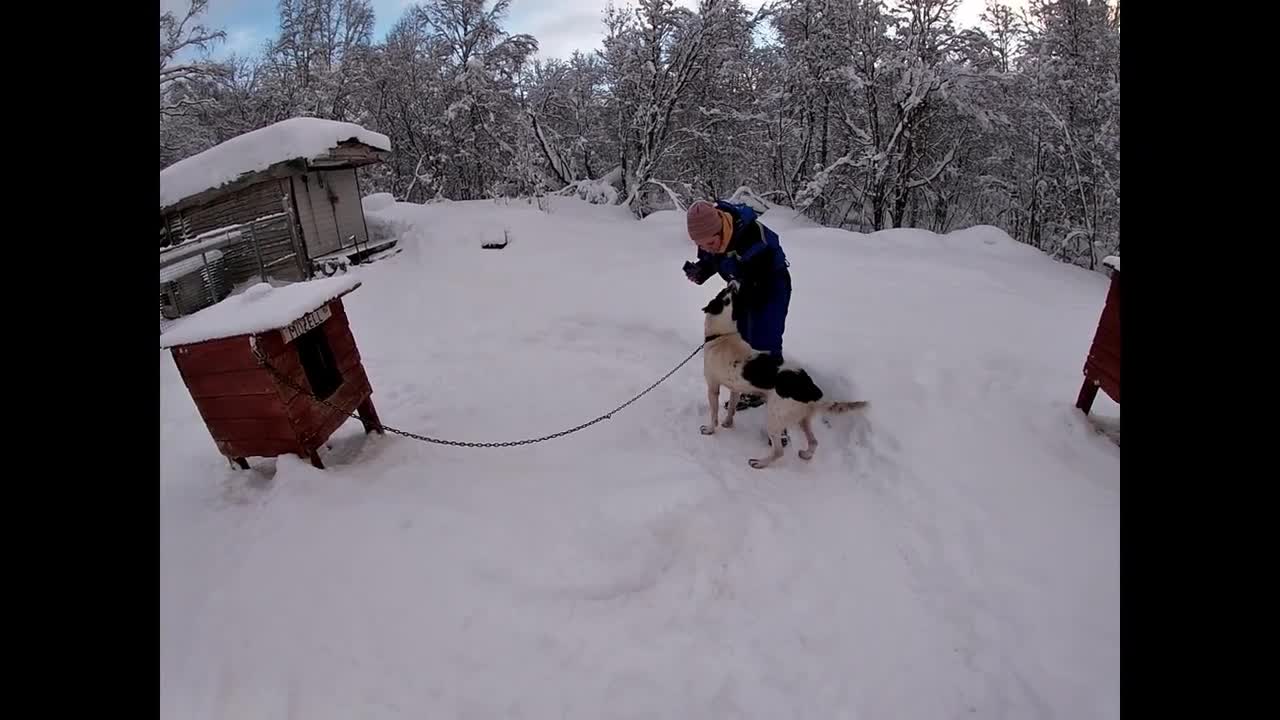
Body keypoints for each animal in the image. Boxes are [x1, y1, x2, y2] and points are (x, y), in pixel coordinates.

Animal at [701, 283, 870, 468]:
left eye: (727, 296)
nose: (733, 283)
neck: (723, 336)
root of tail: (811, 389)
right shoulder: (736, 389)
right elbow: (731, 408)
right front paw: (728, 423)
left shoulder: (713, 387)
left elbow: (714, 415)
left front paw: (710, 429)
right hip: (802, 419)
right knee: (814, 442)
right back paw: (806, 455)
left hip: (774, 420)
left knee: (779, 452)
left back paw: (760, 463)